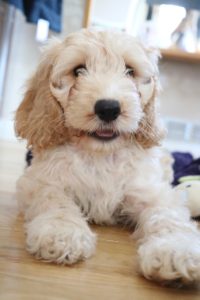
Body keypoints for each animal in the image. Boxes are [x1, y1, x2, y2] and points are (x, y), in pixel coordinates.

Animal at [14, 29, 200, 286]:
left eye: (130, 71)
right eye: (78, 70)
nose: (108, 108)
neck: (100, 154)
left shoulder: (151, 191)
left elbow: (169, 216)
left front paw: (175, 251)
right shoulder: (40, 181)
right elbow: (54, 199)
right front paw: (62, 232)